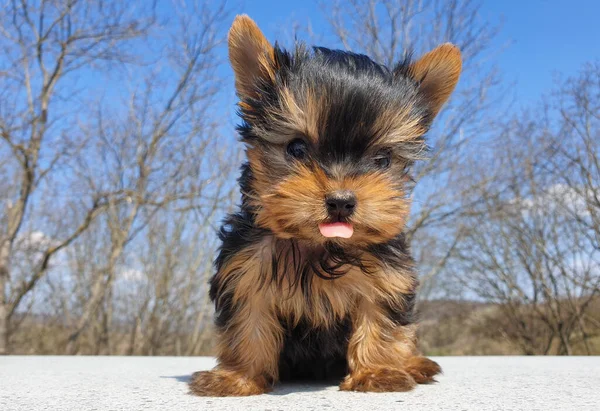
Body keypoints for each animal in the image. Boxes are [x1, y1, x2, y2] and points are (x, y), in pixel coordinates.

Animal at [190, 14, 462, 398]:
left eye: (382, 160)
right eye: (297, 148)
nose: (341, 201)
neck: (320, 247)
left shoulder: (386, 279)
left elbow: (380, 323)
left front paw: (377, 372)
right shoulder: (245, 273)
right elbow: (248, 327)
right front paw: (237, 376)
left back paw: (413, 364)